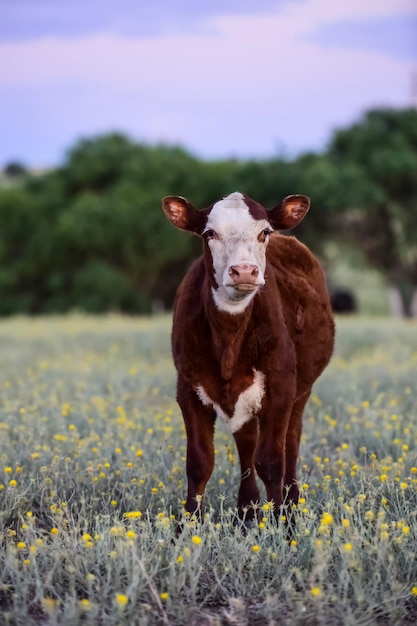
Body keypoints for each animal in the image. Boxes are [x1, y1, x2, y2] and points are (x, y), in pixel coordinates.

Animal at [162, 189, 334, 516]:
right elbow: (199, 462)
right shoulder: (187, 388)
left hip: (301, 391)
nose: (244, 270)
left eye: (264, 232)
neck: (230, 338)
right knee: (246, 441)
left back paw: (291, 503)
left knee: (290, 442)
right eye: (210, 233)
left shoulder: (280, 388)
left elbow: (271, 461)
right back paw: (247, 507)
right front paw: (187, 523)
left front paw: (282, 523)